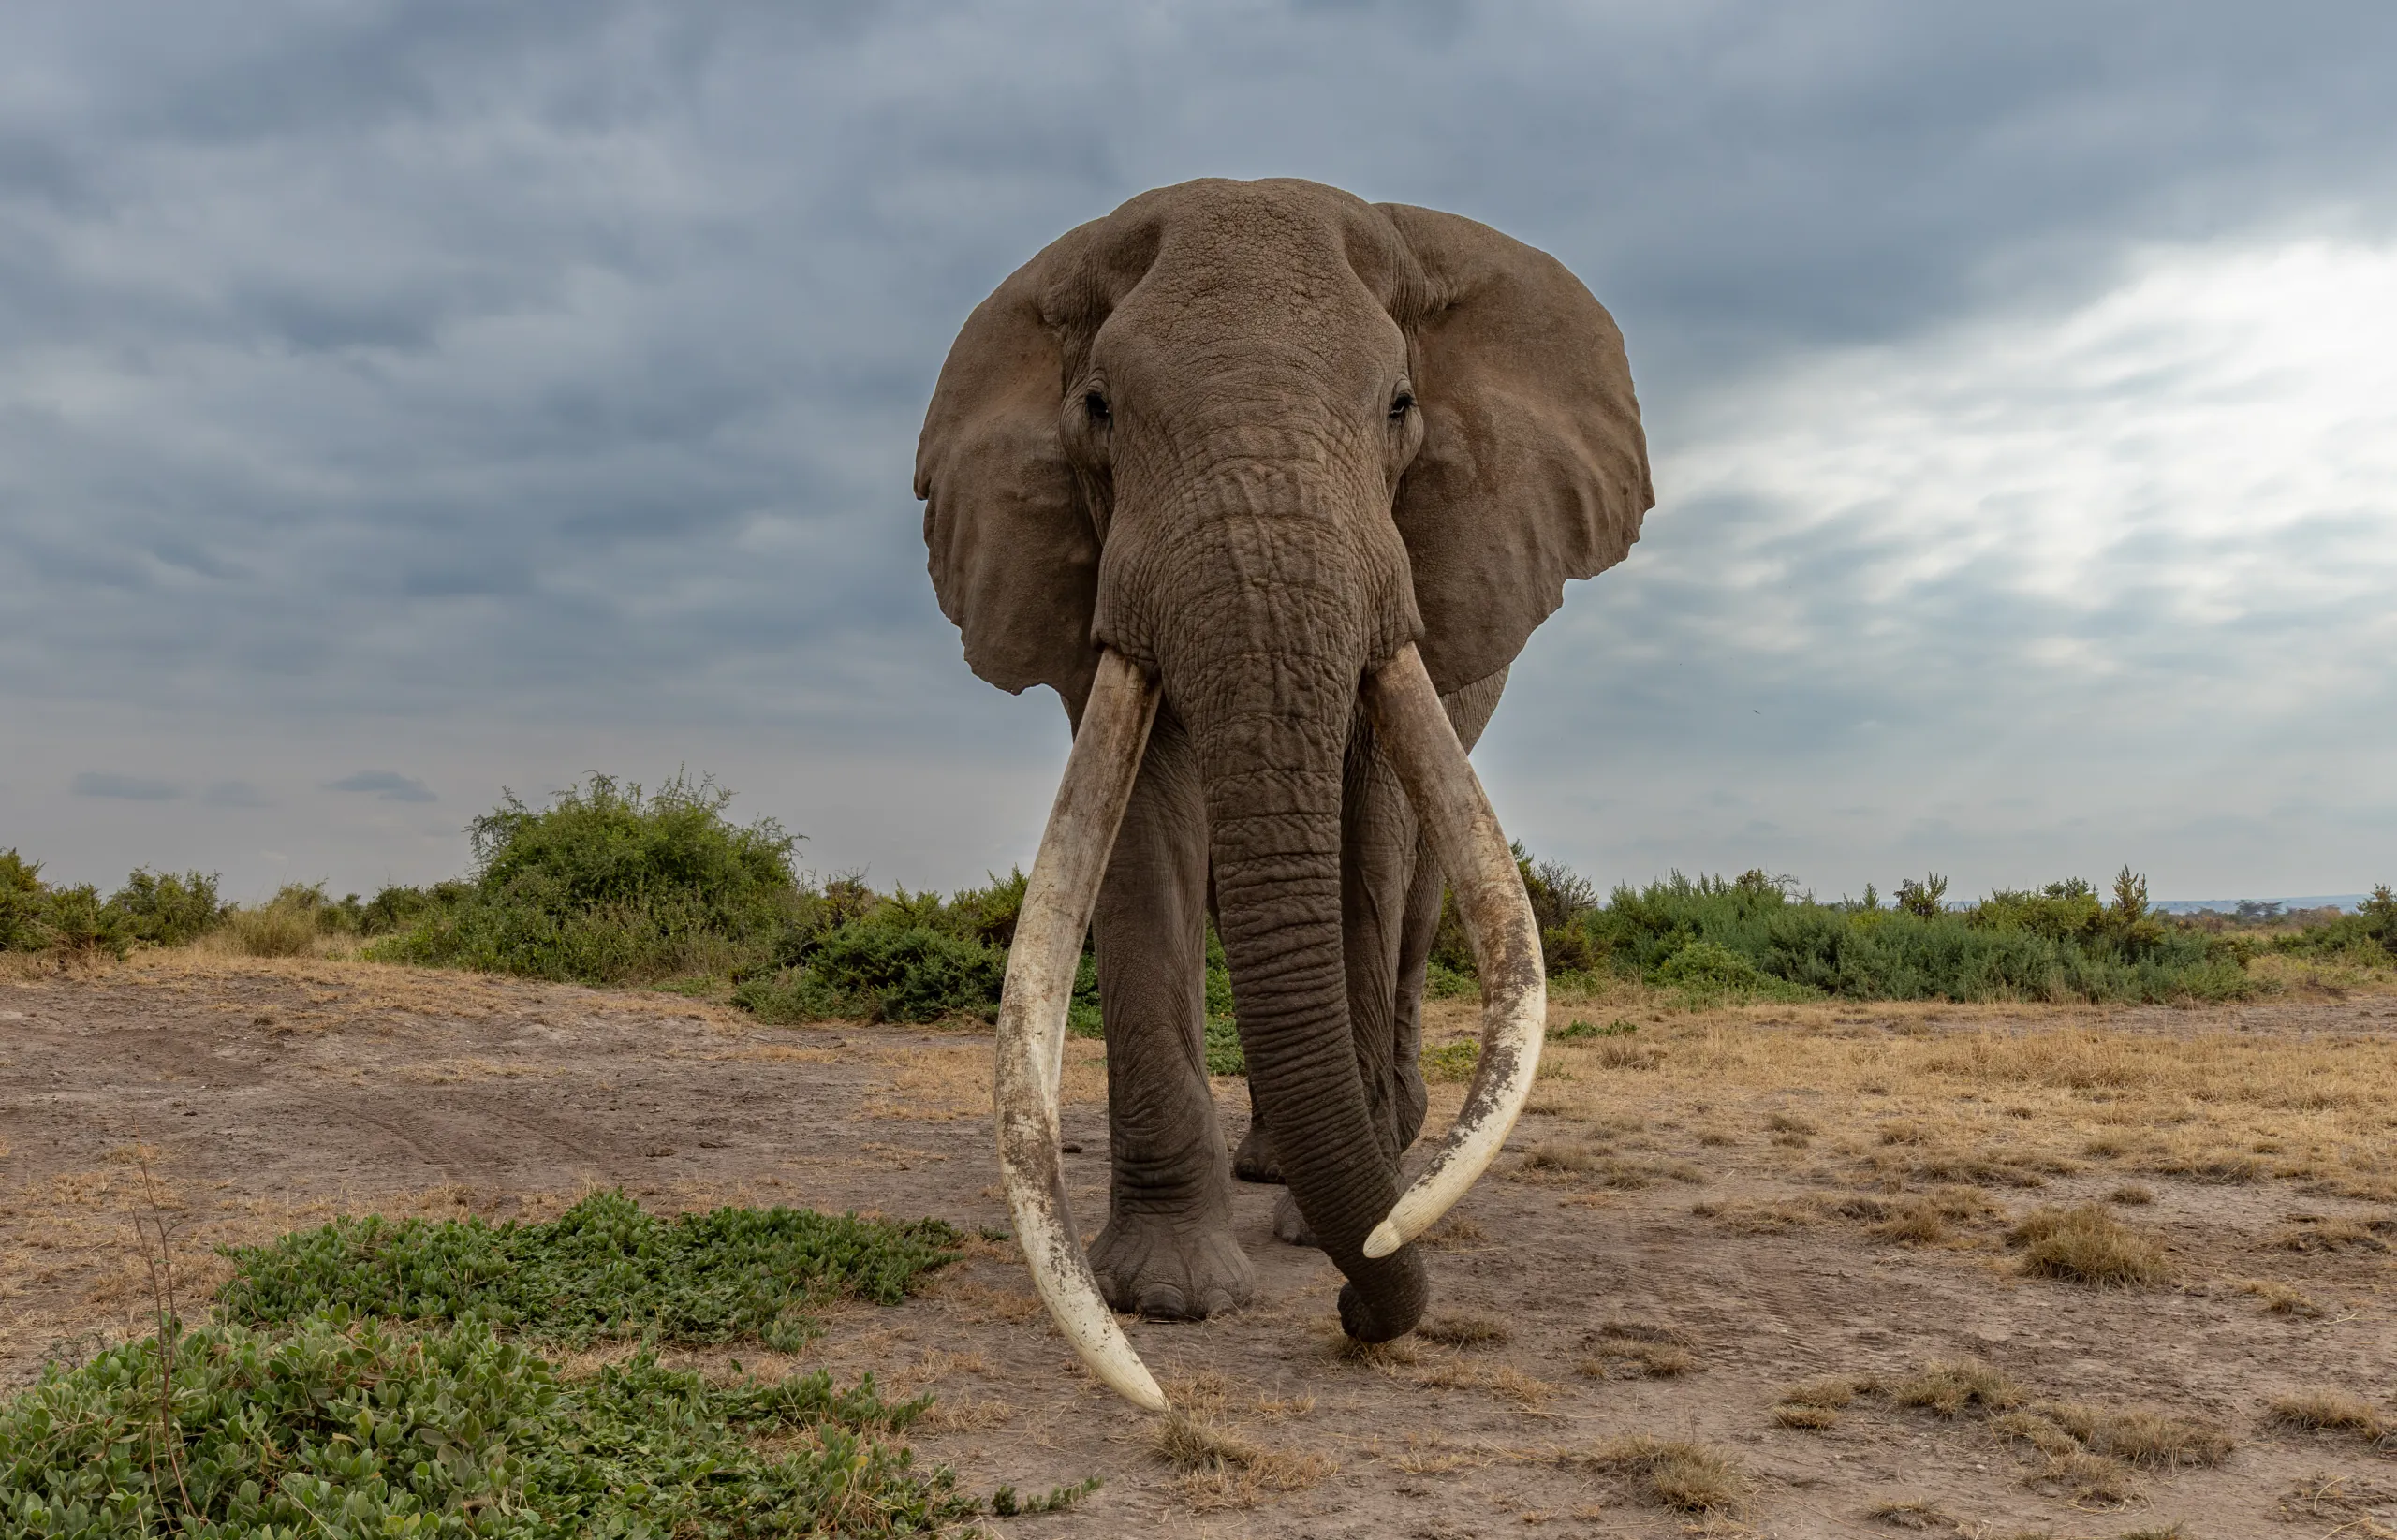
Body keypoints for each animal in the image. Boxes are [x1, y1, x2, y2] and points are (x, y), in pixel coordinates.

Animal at [914, 178, 1652, 1407]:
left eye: (1401, 404)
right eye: (1099, 410)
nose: (1359, 1313)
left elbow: (1369, 835)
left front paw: (1341, 1231)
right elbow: (1142, 834)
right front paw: (1169, 1296)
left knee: (1413, 900)